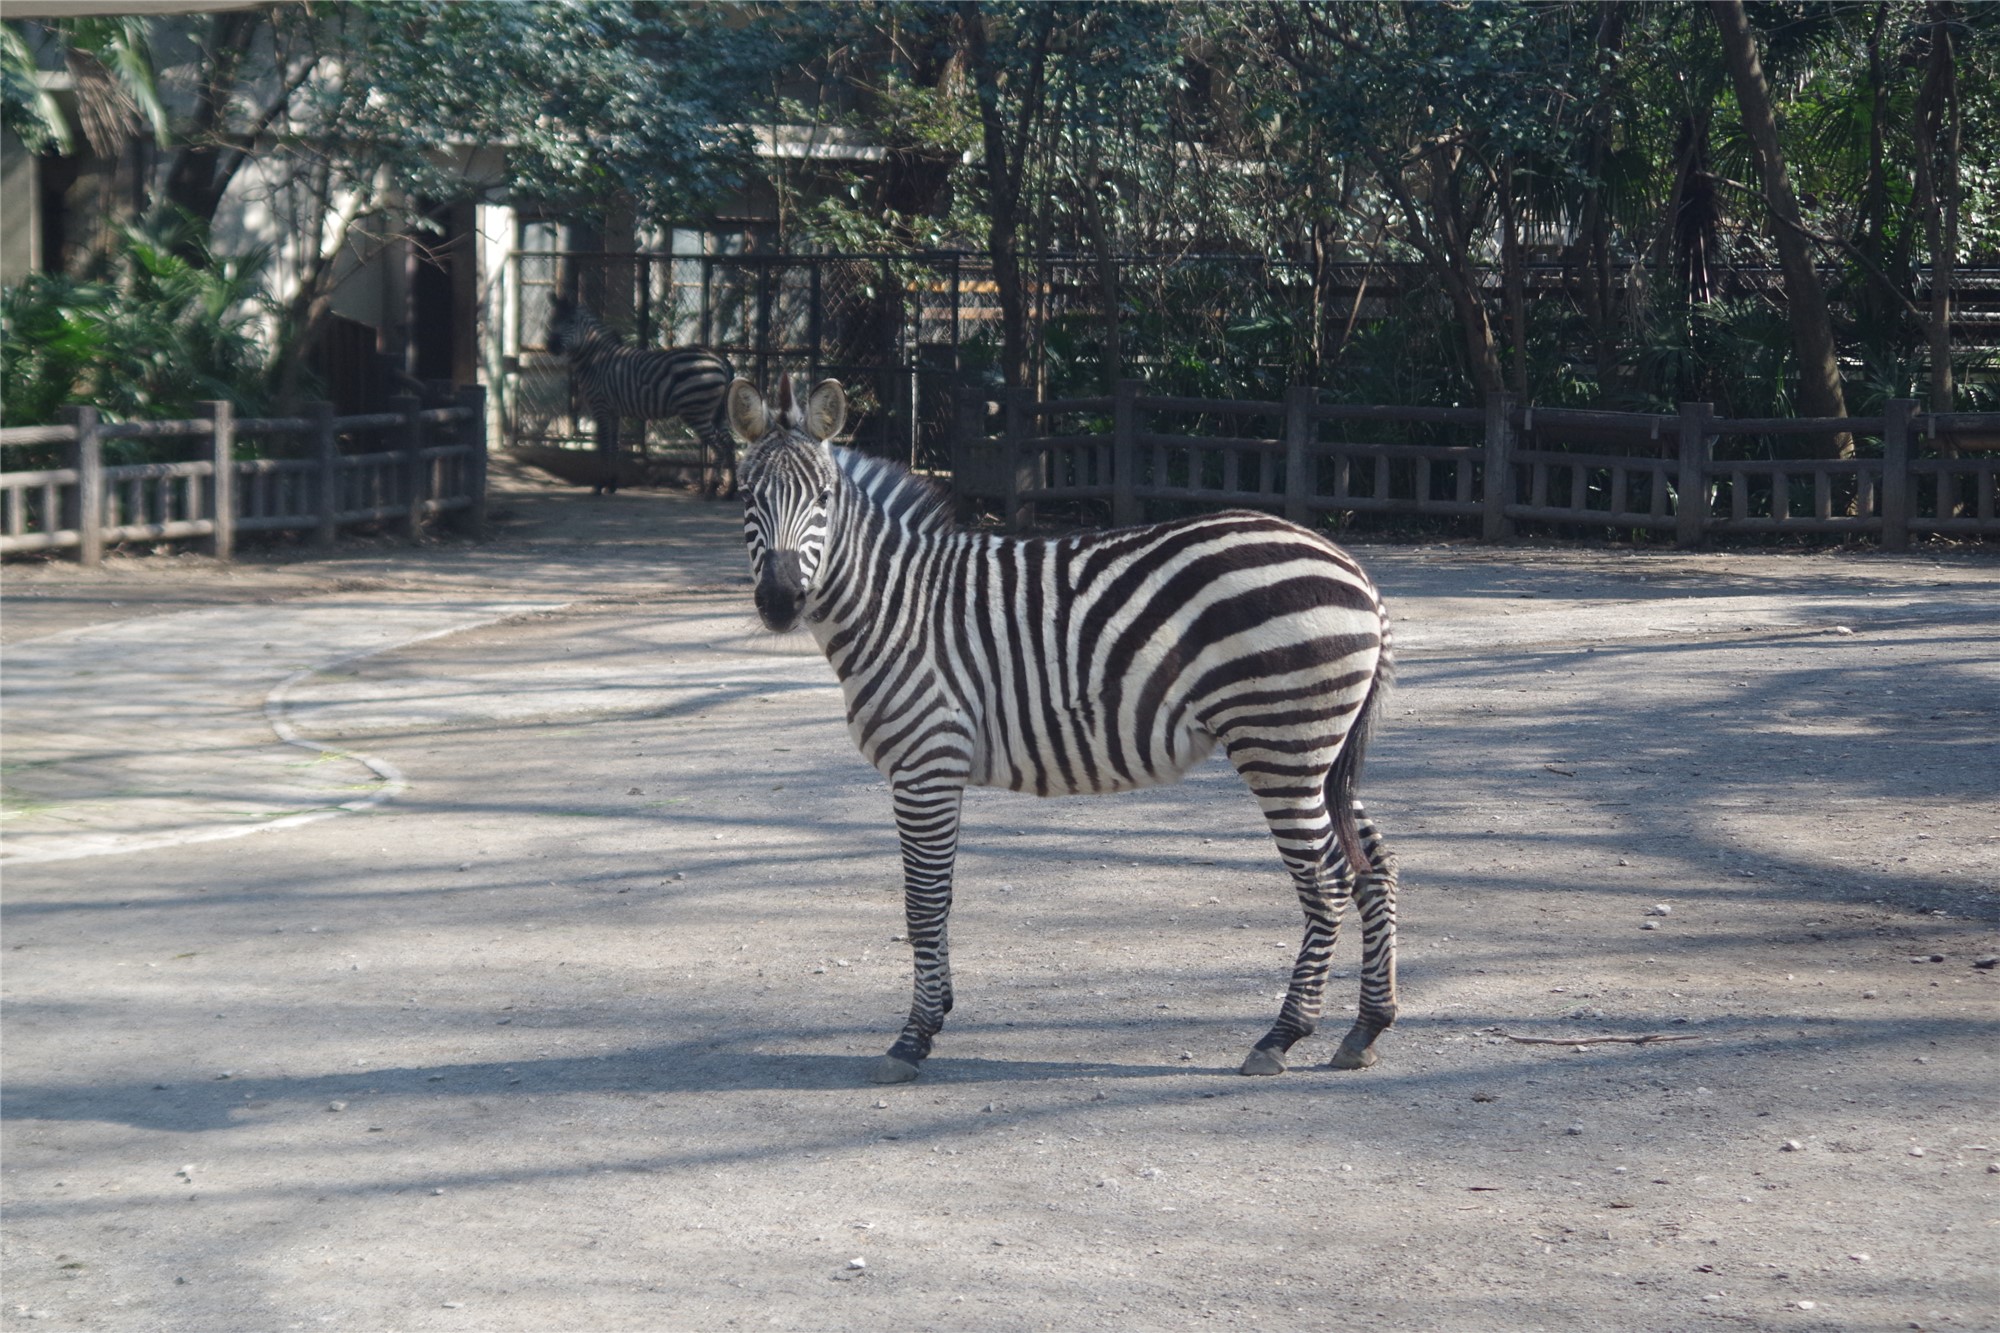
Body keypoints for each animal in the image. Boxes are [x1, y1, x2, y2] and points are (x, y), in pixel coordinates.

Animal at [728, 370, 1400, 1080]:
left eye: (824, 498)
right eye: (747, 495)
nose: (780, 602)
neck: (898, 607)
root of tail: (1356, 572)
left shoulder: (924, 765)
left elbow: (923, 902)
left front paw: (913, 1038)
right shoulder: (939, 769)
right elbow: (938, 900)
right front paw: (934, 1019)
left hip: (1280, 745)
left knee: (1326, 880)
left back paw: (1282, 1036)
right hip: (1317, 754)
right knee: (1374, 864)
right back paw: (1366, 1027)